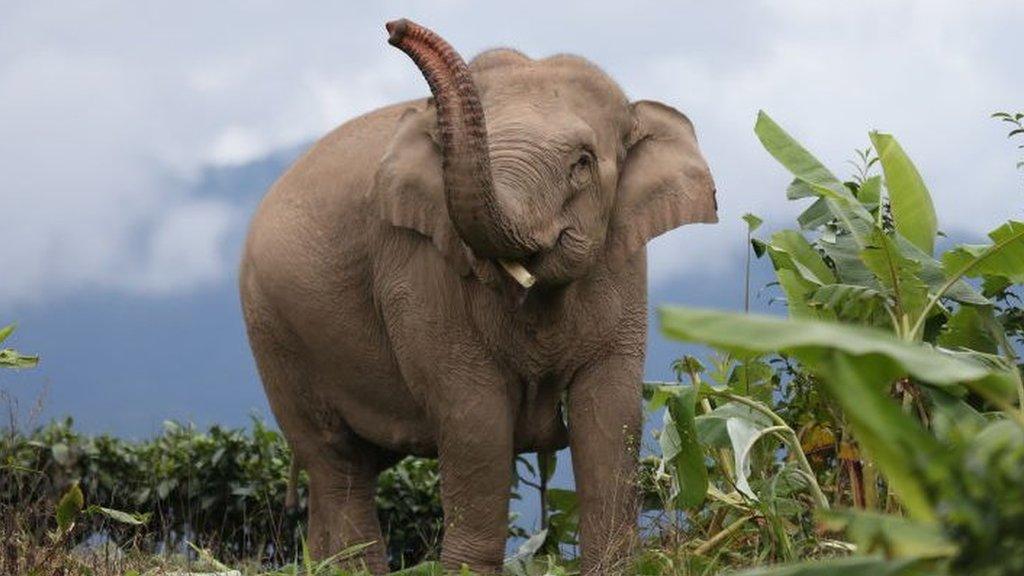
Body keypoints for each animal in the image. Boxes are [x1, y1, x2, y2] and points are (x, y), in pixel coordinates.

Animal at [240, 19, 716, 573]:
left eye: (582, 163)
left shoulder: (623, 266)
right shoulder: (418, 267)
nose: (394, 27)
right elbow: (474, 418)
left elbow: (610, 410)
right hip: (274, 331)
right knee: (337, 463)